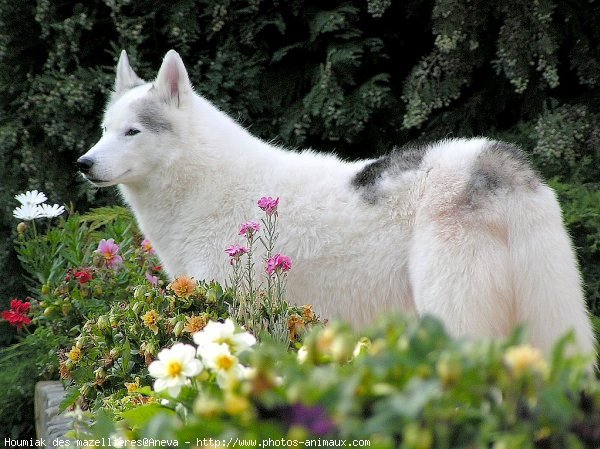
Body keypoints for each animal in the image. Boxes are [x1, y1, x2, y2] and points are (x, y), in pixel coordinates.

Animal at [78, 50, 596, 354]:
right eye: (104, 129)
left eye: (132, 132)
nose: (83, 163)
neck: (203, 182)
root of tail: (497, 162)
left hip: (453, 317)